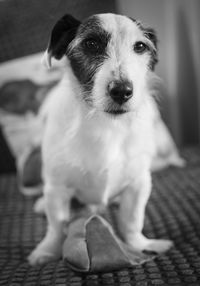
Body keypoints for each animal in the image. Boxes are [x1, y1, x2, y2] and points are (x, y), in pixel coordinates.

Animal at [28, 12, 184, 264]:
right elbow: (56, 226)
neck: (105, 124)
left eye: (140, 46)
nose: (122, 91)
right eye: (91, 43)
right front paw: (47, 251)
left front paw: (142, 245)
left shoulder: (139, 183)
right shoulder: (57, 187)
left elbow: (132, 220)